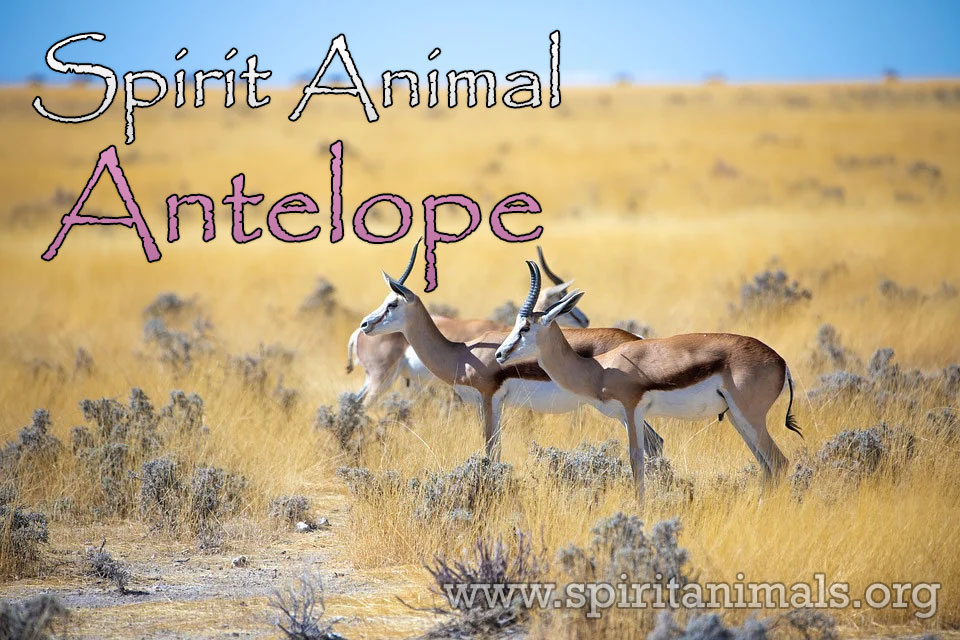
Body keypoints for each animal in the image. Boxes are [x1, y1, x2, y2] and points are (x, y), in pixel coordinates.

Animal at [495, 262, 801, 498]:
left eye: (525, 327)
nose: (499, 354)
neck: (600, 368)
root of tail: (781, 362)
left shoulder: (632, 411)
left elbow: (636, 460)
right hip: (738, 418)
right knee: (767, 466)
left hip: (750, 418)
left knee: (779, 463)